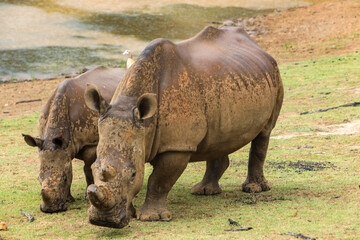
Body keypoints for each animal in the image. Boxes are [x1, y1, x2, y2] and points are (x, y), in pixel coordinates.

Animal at [22, 66, 126, 213]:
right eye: (38, 178)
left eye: (64, 179)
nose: (50, 209)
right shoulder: (59, 146)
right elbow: (68, 165)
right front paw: (69, 199)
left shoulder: (90, 144)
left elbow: (87, 169)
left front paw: (87, 197)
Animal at [85, 26, 284, 229]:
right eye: (93, 167)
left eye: (132, 174)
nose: (104, 221)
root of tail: (257, 46)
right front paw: (131, 213)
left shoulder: (178, 145)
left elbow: (159, 179)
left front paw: (152, 217)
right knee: (217, 138)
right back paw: (204, 191)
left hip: (275, 75)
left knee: (265, 132)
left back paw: (253, 189)